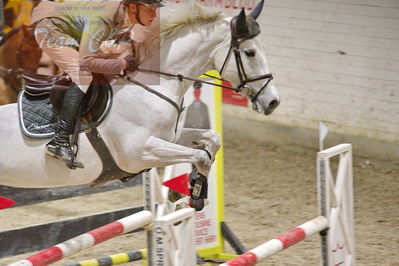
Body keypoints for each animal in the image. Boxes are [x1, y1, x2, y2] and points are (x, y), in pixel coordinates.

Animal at [0, 2, 280, 193]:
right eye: (250, 53)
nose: (273, 102)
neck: (152, 87)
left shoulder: (169, 138)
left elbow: (211, 140)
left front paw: (193, 188)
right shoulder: (140, 152)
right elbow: (202, 156)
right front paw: (195, 193)